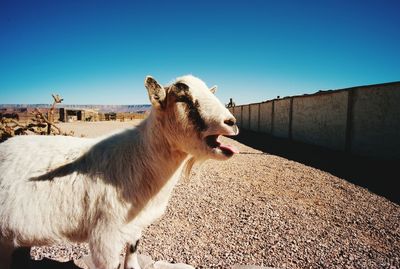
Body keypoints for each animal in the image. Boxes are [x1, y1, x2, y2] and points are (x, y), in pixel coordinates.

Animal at [0, 75, 238, 268]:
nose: (231, 122)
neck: (138, 158)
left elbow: (132, 256)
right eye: (184, 98)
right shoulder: (106, 235)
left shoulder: (134, 226)